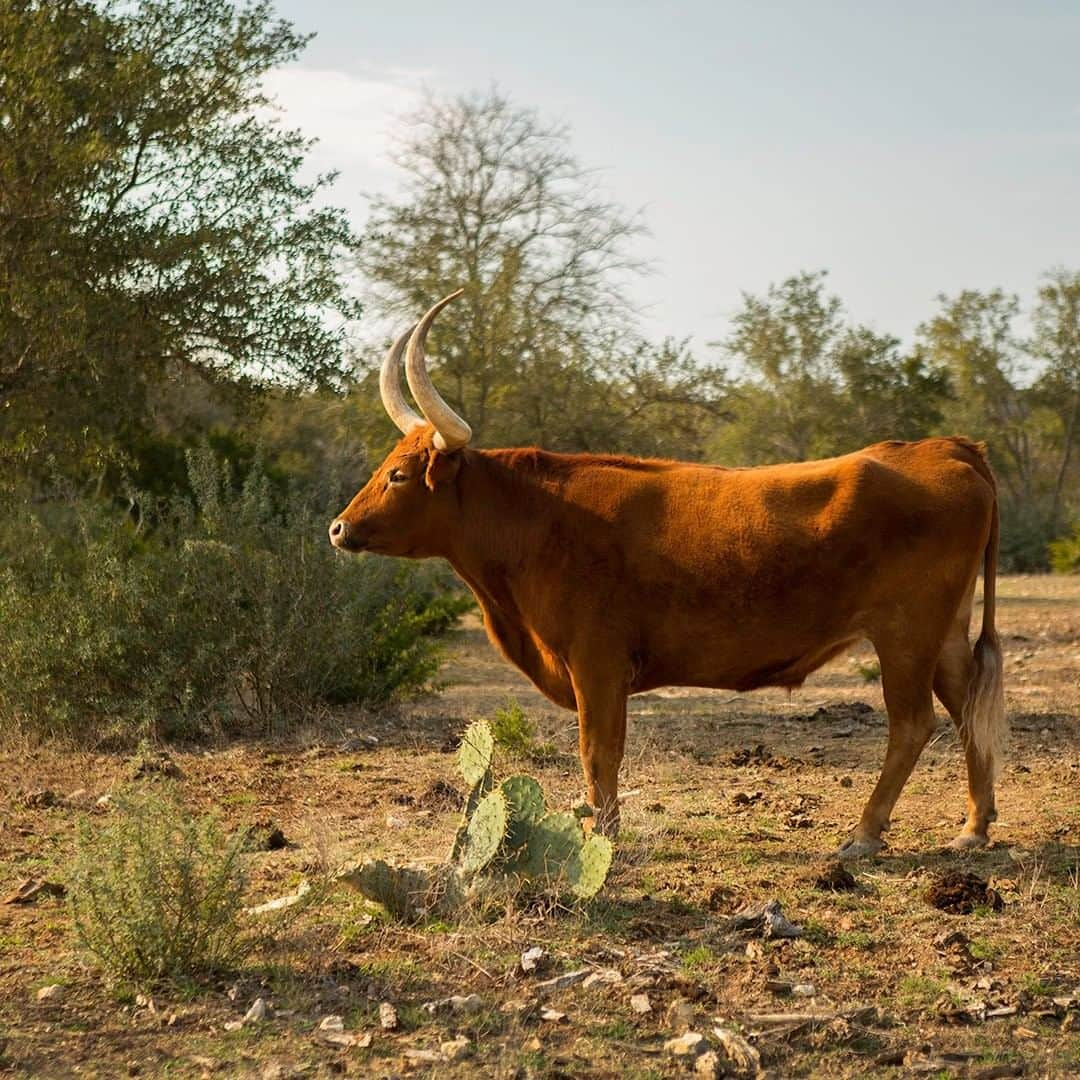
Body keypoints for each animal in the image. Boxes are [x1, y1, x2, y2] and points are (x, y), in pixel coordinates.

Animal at [332, 289, 1006, 859]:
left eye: (397, 475)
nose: (338, 528)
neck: (541, 519)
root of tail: (947, 448)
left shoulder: (597, 663)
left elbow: (599, 752)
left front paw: (602, 838)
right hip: (943, 634)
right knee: (967, 705)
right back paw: (973, 828)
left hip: (905, 635)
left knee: (912, 725)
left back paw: (864, 834)